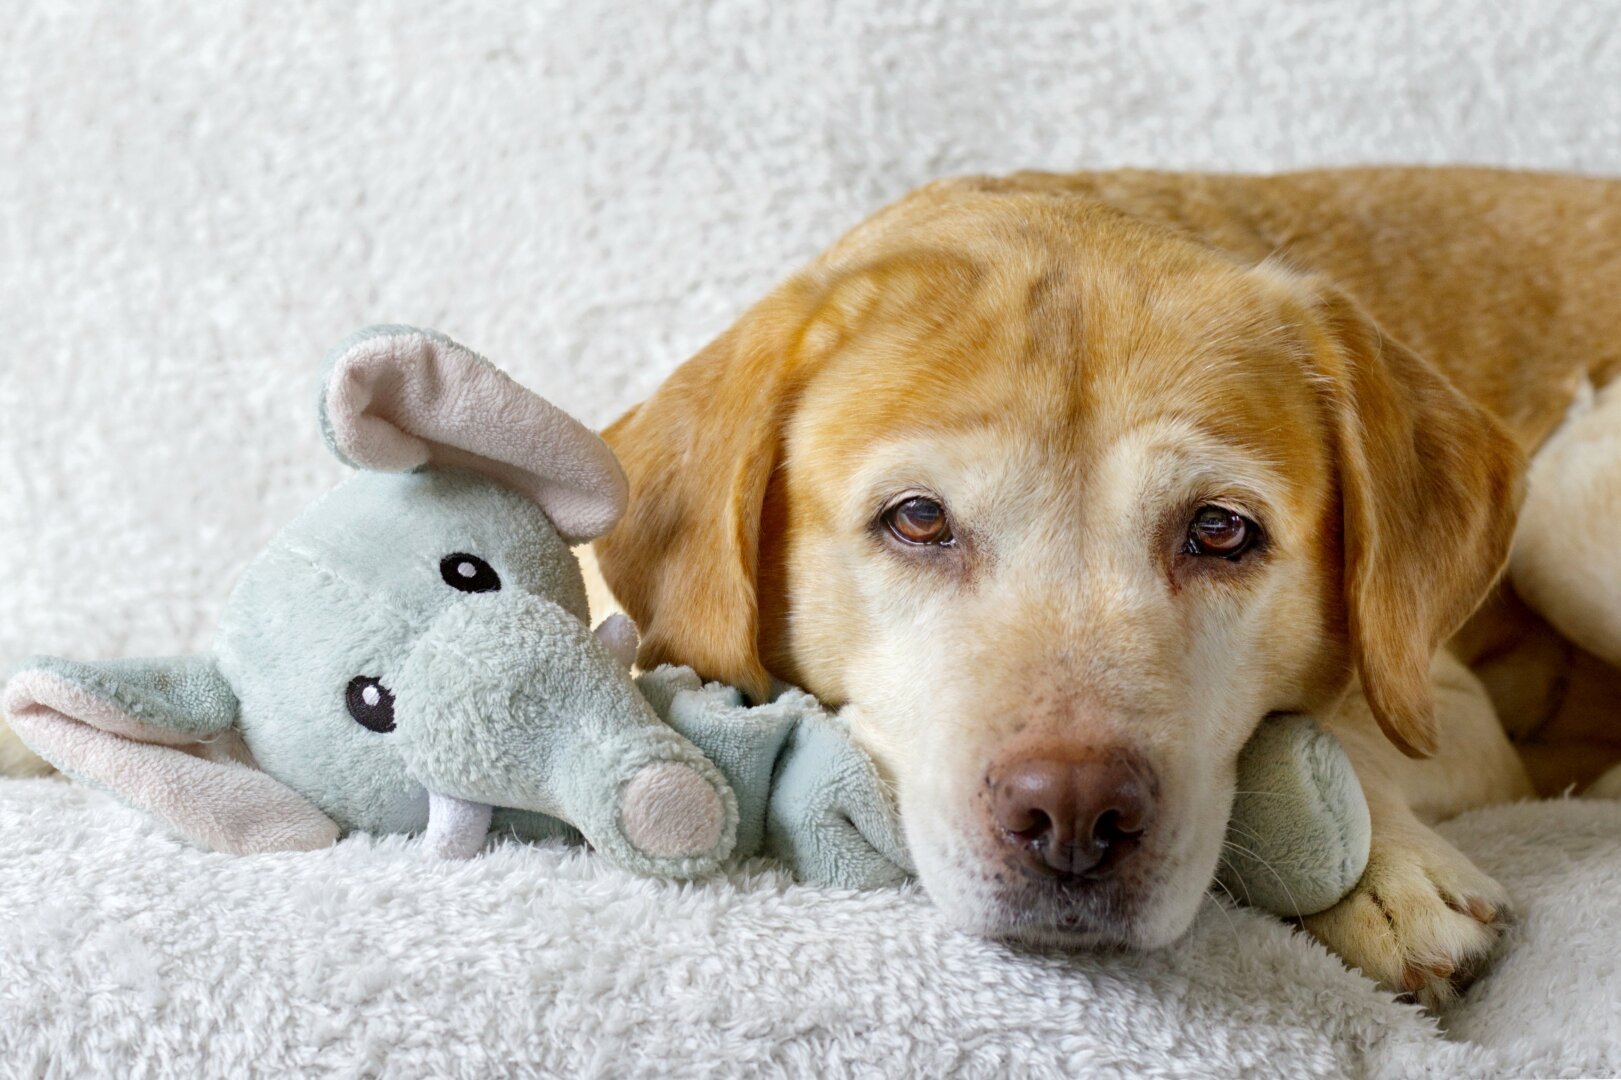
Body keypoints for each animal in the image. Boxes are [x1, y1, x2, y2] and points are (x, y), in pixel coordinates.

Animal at [593, 163, 1621, 1005]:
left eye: (1219, 530)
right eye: (917, 518)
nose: (1075, 817)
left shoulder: (1453, 709)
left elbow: (1340, 727)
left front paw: (1387, 871)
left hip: (1571, 498)